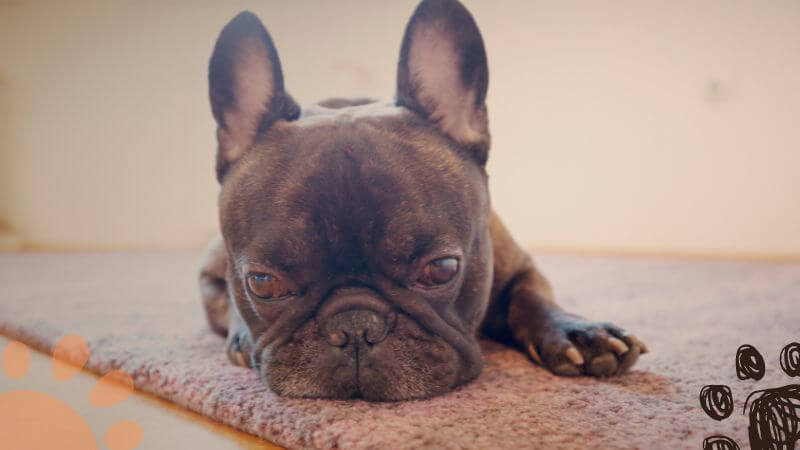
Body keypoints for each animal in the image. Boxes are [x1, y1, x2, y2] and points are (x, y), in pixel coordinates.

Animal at [198, 0, 644, 400]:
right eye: (263, 283)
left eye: (442, 269)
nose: (355, 326)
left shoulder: (520, 266)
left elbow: (530, 296)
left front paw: (581, 333)